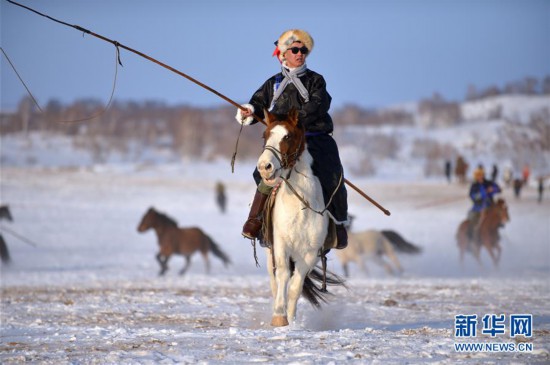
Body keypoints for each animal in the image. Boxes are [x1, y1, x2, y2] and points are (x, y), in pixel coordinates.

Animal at [258, 109, 344, 328]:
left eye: (288, 136)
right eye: (265, 135)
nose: (264, 167)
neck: (299, 206)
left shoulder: (310, 252)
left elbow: (297, 285)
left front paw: (291, 318)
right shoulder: (280, 244)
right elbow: (282, 275)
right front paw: (279, 316)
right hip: (270, 250)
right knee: (275, 281)